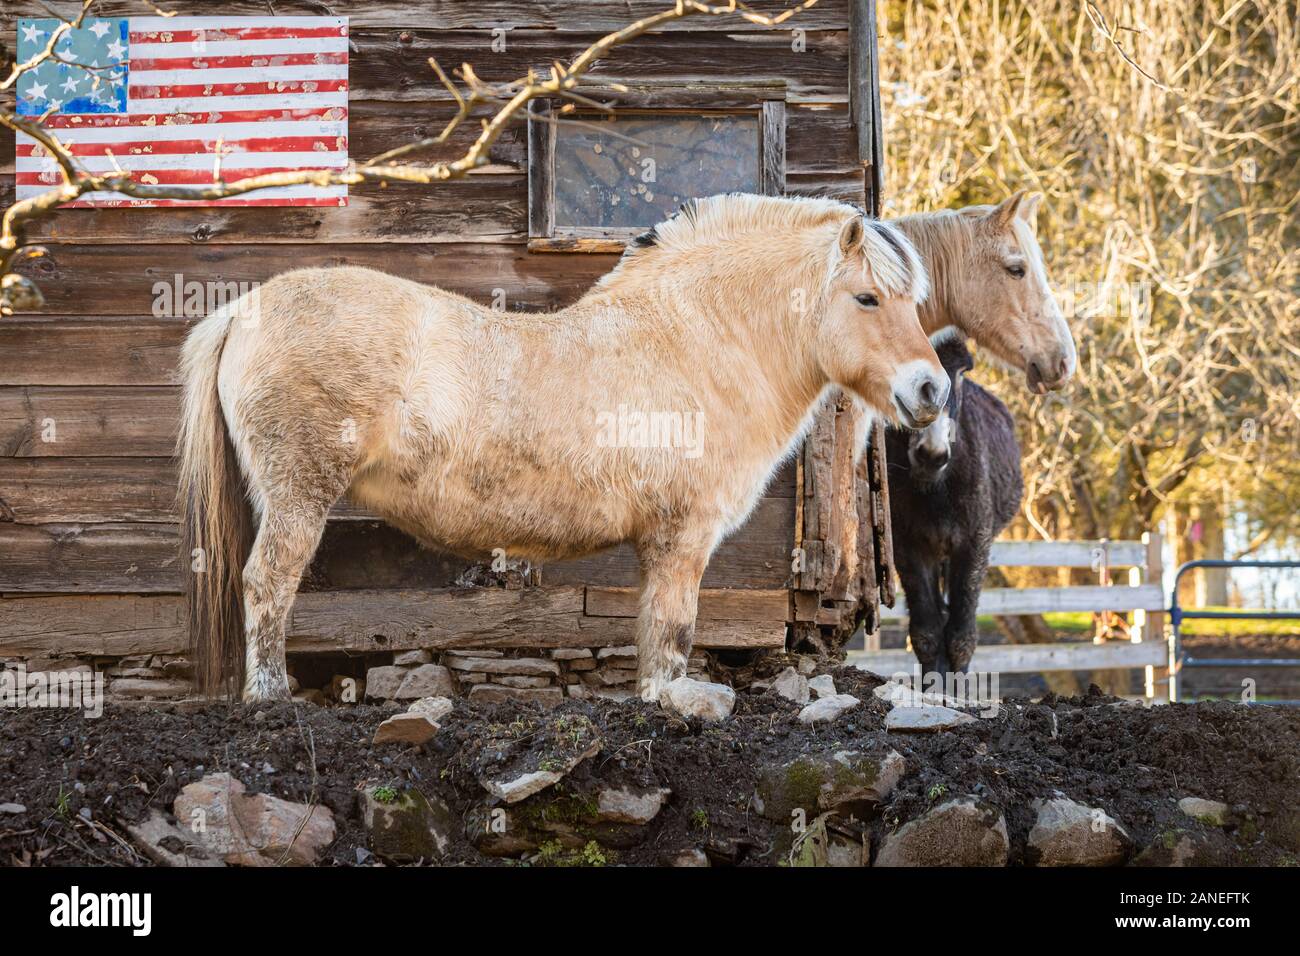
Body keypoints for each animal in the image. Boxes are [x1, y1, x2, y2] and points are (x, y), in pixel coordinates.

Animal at [177, 193, 946, 703]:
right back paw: (269, 697)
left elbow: (653, 634)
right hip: (297, 496)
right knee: (267, 583)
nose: (932, 388)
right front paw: (673, 705)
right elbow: (674, 634)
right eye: (868, 298)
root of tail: (244, 309)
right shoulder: (684, 538)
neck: (691, 342)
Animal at [886, 337, 1023, 675]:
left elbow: (962, 637)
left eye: (962, 371)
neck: (935, 488)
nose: (931, 455)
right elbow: (927, 633)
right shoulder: (908, 547)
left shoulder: (974, 543)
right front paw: (933, 684)